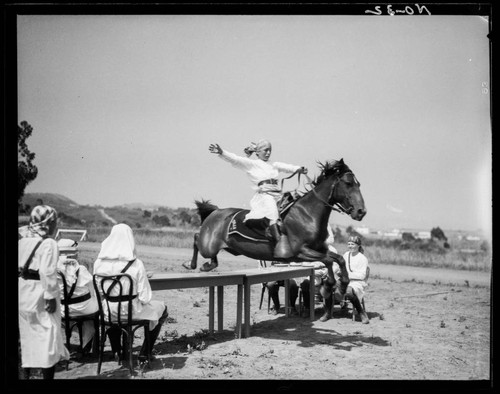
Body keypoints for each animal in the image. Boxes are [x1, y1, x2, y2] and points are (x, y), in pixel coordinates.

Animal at [186, 159, 366, 288]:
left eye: (358, 184)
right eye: (348, 184)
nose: (361, 211)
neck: (307, 214)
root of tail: (215, 212)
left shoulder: (320, 249)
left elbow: (339, 259)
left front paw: (344, 281)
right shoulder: (301, 252)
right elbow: (328, 260)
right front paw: (331, 281)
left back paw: (207, 266)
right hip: (208, 246)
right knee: (196, 238)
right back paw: (192, 264)